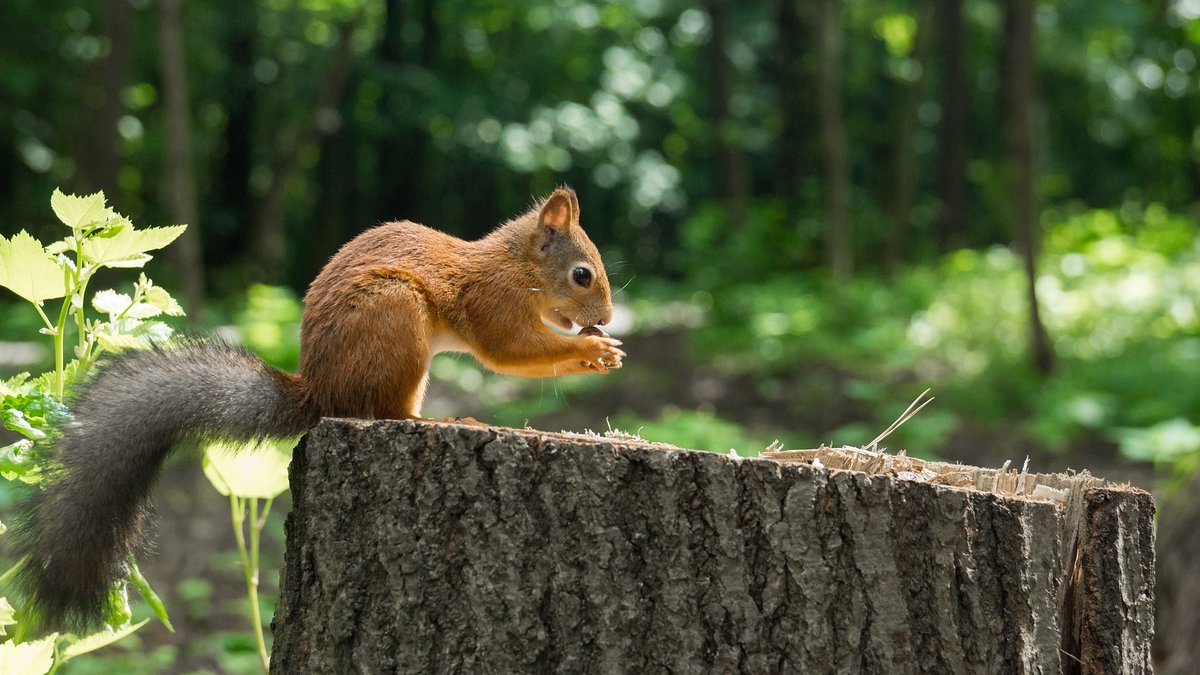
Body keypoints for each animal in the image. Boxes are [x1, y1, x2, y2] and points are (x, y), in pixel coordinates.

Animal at [16, 187, 624, 628]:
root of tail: (321, 393)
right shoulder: (493, 303)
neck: (519, 268)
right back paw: (438, 419)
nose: (606, 319)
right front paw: (593, 351)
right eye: (582, 274)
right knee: (385, 411)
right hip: (395, 315)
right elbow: (512, 351)